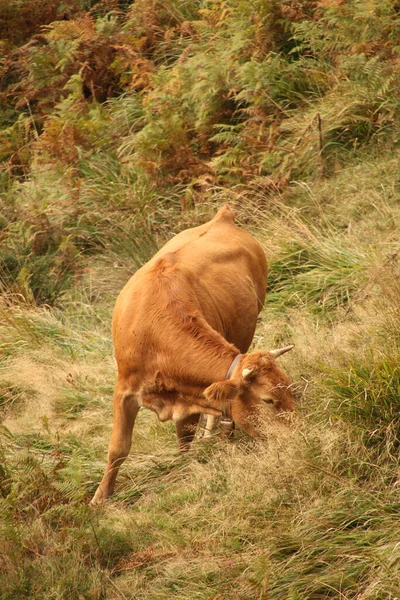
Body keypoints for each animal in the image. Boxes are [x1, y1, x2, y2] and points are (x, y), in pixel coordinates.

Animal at [92, 204, 296, 504]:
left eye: (291, 390)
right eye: (269, 400)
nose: (301, 435)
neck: (154, 332)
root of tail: (222, 217)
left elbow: (184, 437)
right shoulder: (124, 389)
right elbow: (118, 447)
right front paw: (100, 498)